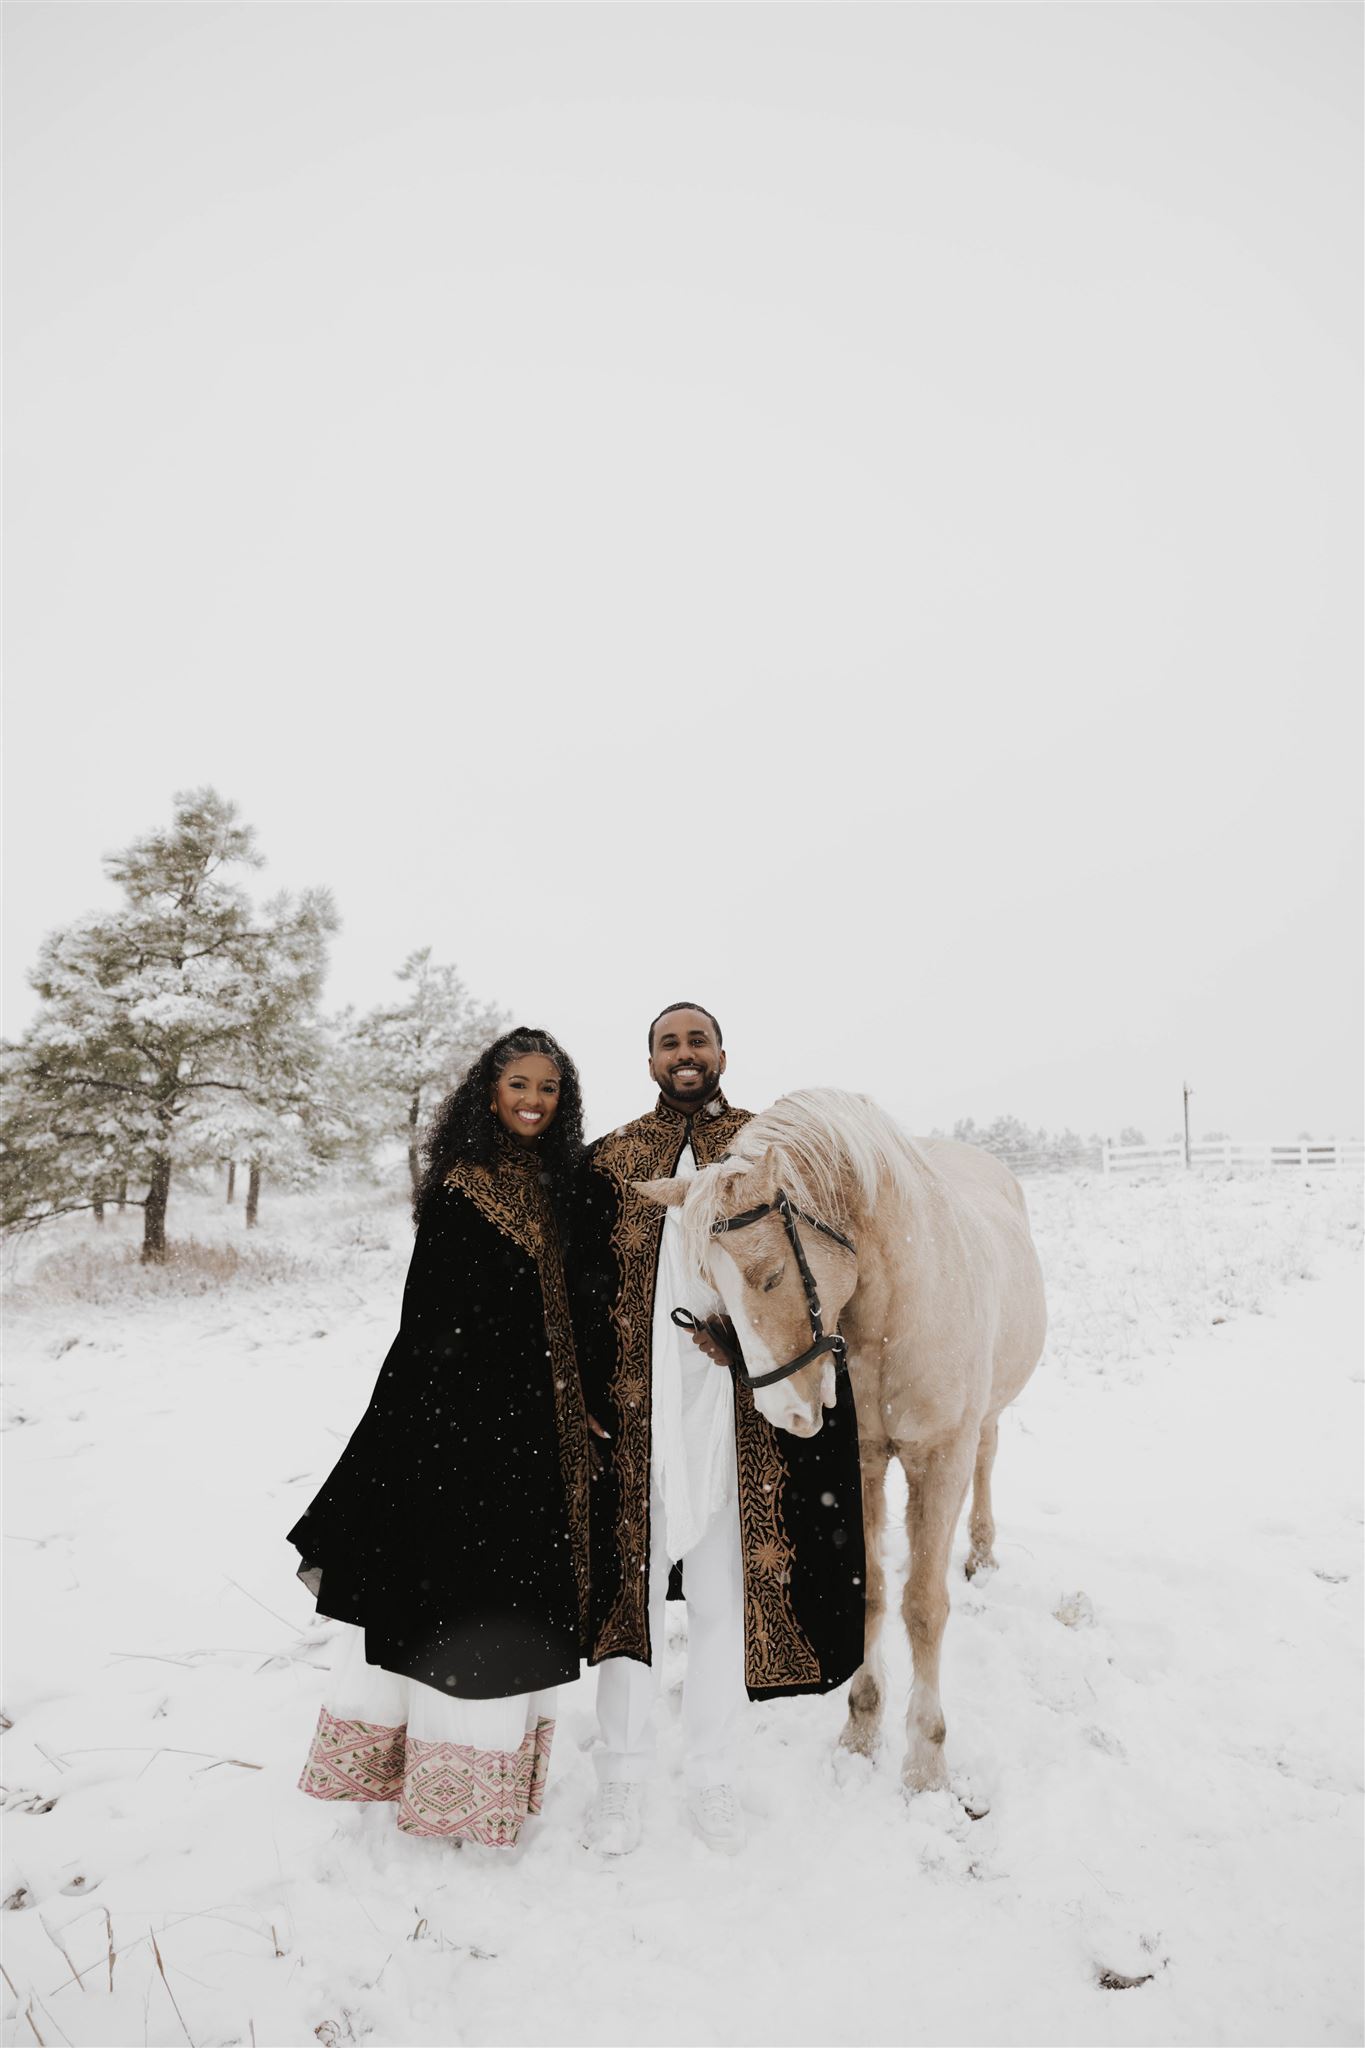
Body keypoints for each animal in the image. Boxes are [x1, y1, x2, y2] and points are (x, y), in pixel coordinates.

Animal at [642, 1089, 1047, 1794]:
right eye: (713, 1288)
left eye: (771, 1275)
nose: (783, 1410)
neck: (893, 1309)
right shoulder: (863, 1462)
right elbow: (875, 1595)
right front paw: (861, 1727)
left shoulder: (940, 1458)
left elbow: (924, 1606)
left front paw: (926, 1760)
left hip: (986, 1418)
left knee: (988, 1459)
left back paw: (981, 1552)